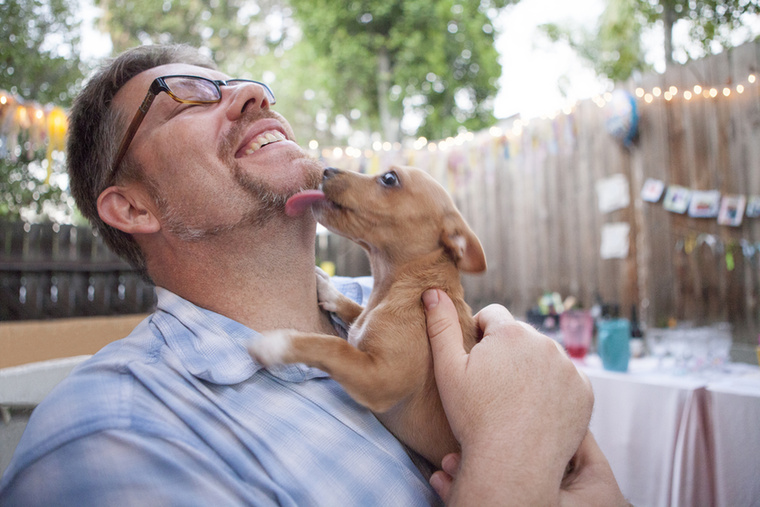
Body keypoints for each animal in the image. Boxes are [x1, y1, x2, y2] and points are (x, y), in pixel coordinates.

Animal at [249, 166, 486, 468]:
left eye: (389, 178)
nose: (326, 169)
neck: (400, 285)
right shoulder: (365, 327)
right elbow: (354, 311)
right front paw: (328, 289)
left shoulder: (381, 378)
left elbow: (332, 346)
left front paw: (278, 343)